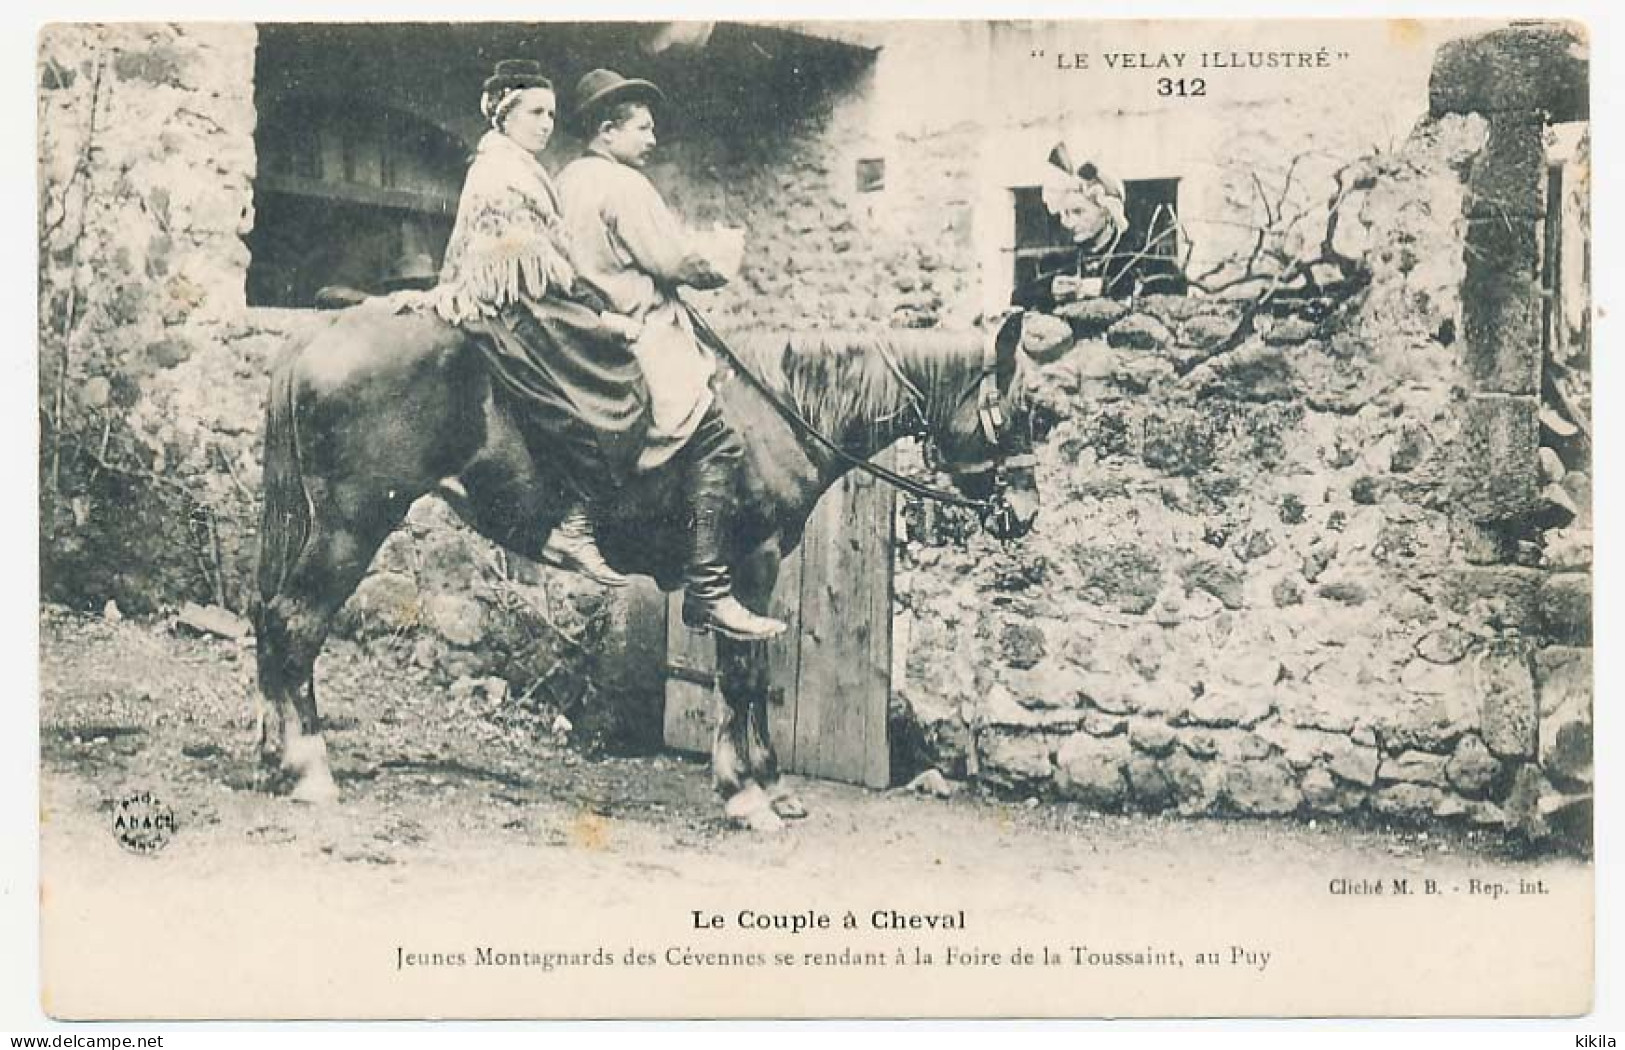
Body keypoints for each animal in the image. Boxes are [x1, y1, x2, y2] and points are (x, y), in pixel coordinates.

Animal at [251, 302, 1040, 832]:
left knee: (270, 623)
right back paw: (310, 769)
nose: (1024, 514)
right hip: (352, 526)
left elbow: (745, 674)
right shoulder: (746, 567)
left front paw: (766, 782)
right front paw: (748, 793)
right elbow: (742, 675)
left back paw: (274, 755)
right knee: (295, 625)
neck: (779, 407)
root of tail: (317, 333)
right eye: (1023, 411)